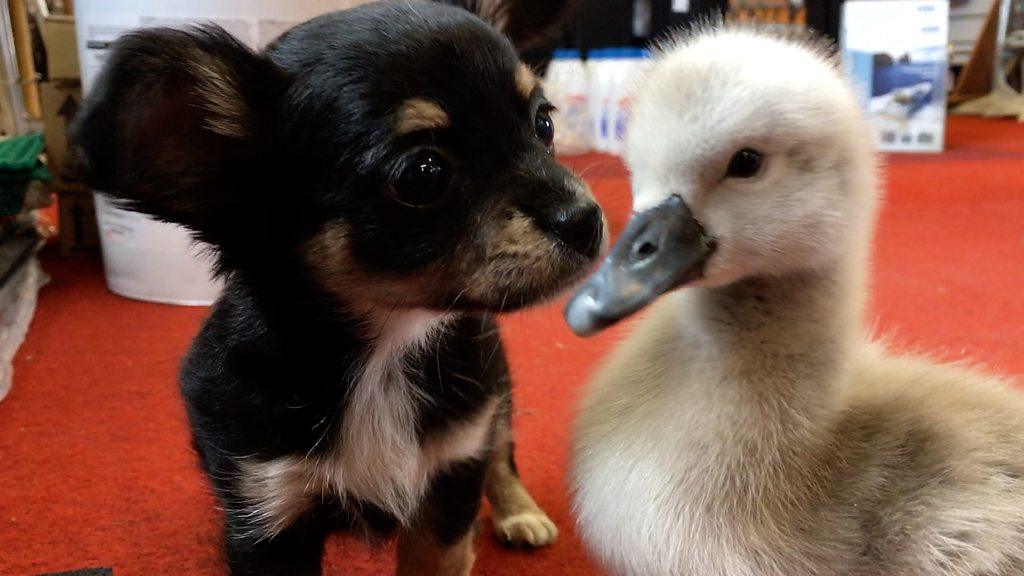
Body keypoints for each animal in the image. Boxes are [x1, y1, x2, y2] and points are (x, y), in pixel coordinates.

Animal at [68, 2, 602, 569]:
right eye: (423, 173)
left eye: (543, 123)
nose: (586, 220)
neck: (384, 357)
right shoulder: (268, 507)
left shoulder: (451, 477)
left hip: (492, 391)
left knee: (501, 449)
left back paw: (519, 511)